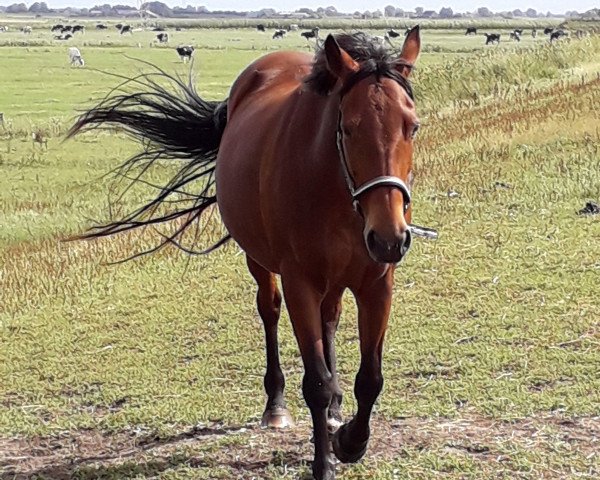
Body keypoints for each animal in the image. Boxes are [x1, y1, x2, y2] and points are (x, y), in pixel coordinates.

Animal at [69, 27, 432, 480]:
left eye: (412, 126)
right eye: (348, 128)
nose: (388, 237)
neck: (335, 190)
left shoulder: (377, 284)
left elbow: (371, 379)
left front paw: (350, 440)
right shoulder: (299, 283)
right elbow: (315, 381)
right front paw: (326, 459)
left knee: (330, 318)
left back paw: (335, 409)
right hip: (261, 263)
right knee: (270, 310)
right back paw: (276, 407)